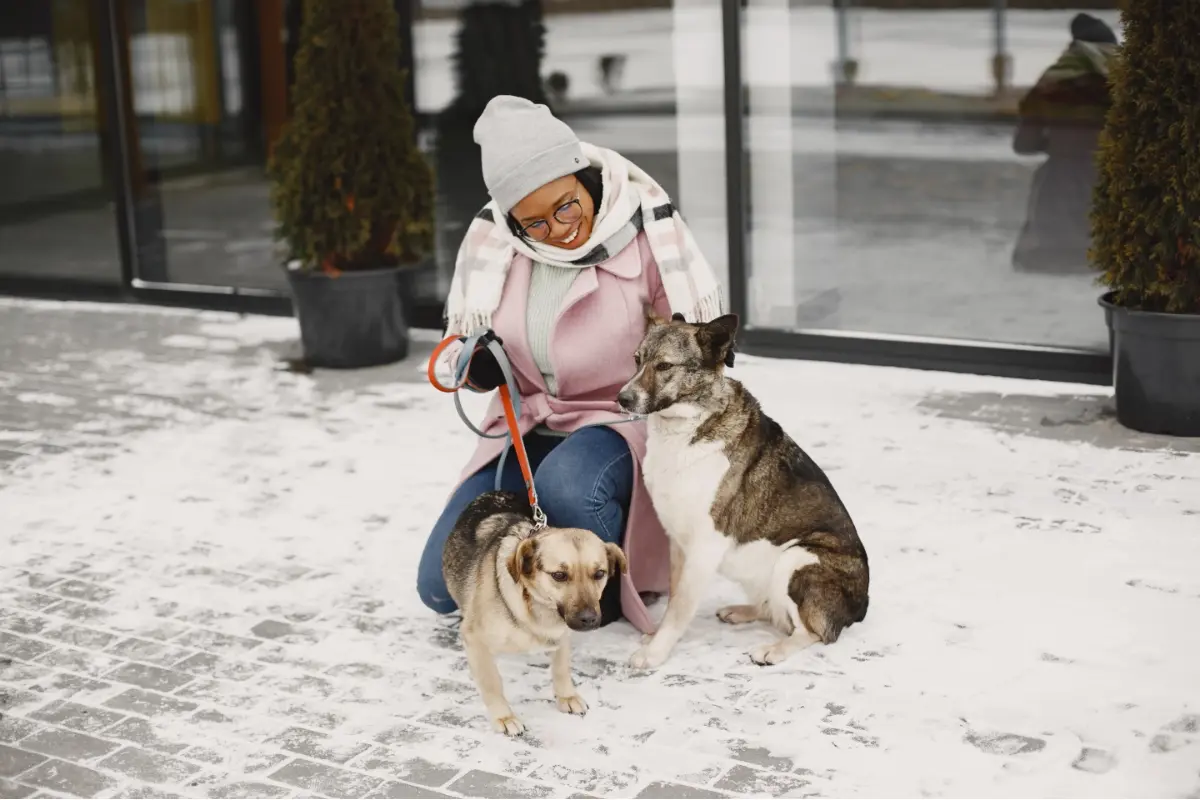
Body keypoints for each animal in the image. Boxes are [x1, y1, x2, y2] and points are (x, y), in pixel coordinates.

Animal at [441, 489, 628, 738]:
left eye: (599, 573)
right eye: (559, 575)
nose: (589, 620)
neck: (540, 610)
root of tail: (496, 491)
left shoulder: (562, 634)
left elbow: (561, 668)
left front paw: (566, 696)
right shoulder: (474, 638)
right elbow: (492, 683)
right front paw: (504, 717)